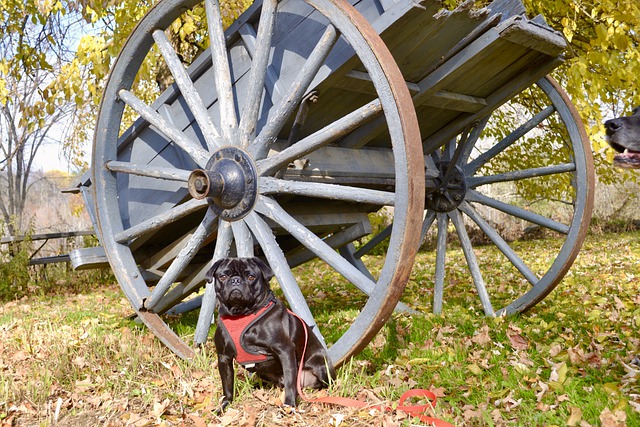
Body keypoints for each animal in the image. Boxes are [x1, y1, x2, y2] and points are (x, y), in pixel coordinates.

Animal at [206, 256, 338, 412]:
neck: (241, 315)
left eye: (251, 277)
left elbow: (290, 381)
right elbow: (227, 385)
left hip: (321, 367)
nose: (236, 280)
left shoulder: (284, 350)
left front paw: (289, 405)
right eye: (223, 276)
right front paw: (224, 405)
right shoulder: (224, 358)